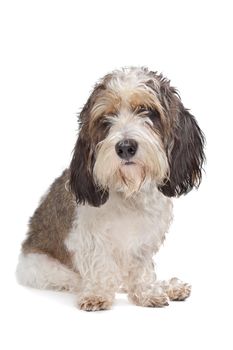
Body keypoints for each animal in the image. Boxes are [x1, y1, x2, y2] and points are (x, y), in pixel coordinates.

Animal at [16, 67, 205, 310]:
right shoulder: (88, 237)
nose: (125, 147)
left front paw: (147, 293)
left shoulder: (144, 239)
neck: (129, 193)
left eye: (147, 110)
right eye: (106, 118)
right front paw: (97, 294)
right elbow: (100, 264)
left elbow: (141, 270)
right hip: (44, 269)